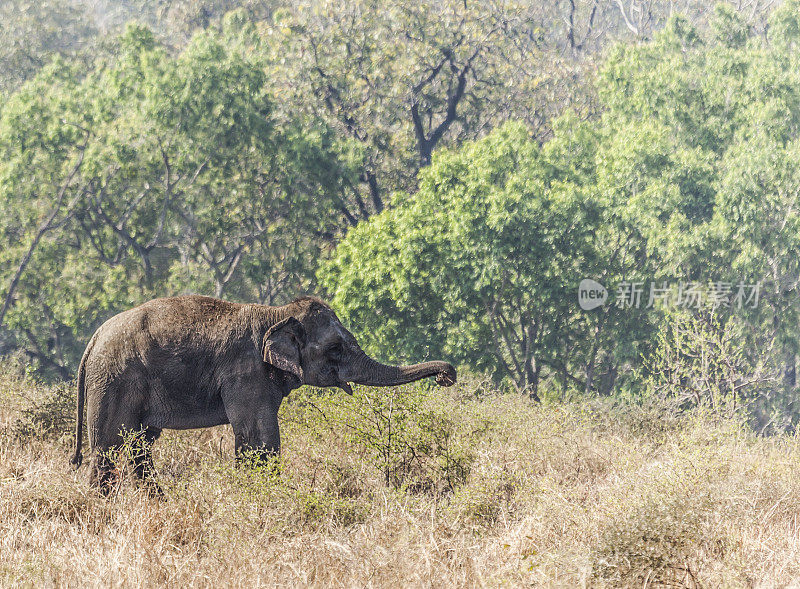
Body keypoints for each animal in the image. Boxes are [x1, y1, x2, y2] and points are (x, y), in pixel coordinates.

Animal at [69, 294, 456, 492]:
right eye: (335, 349)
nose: (447, 376)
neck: (276, 314)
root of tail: (93, 339)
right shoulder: (246, 372)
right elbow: (260, 438)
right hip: (115, 380)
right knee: (108, 446)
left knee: (140, 445)